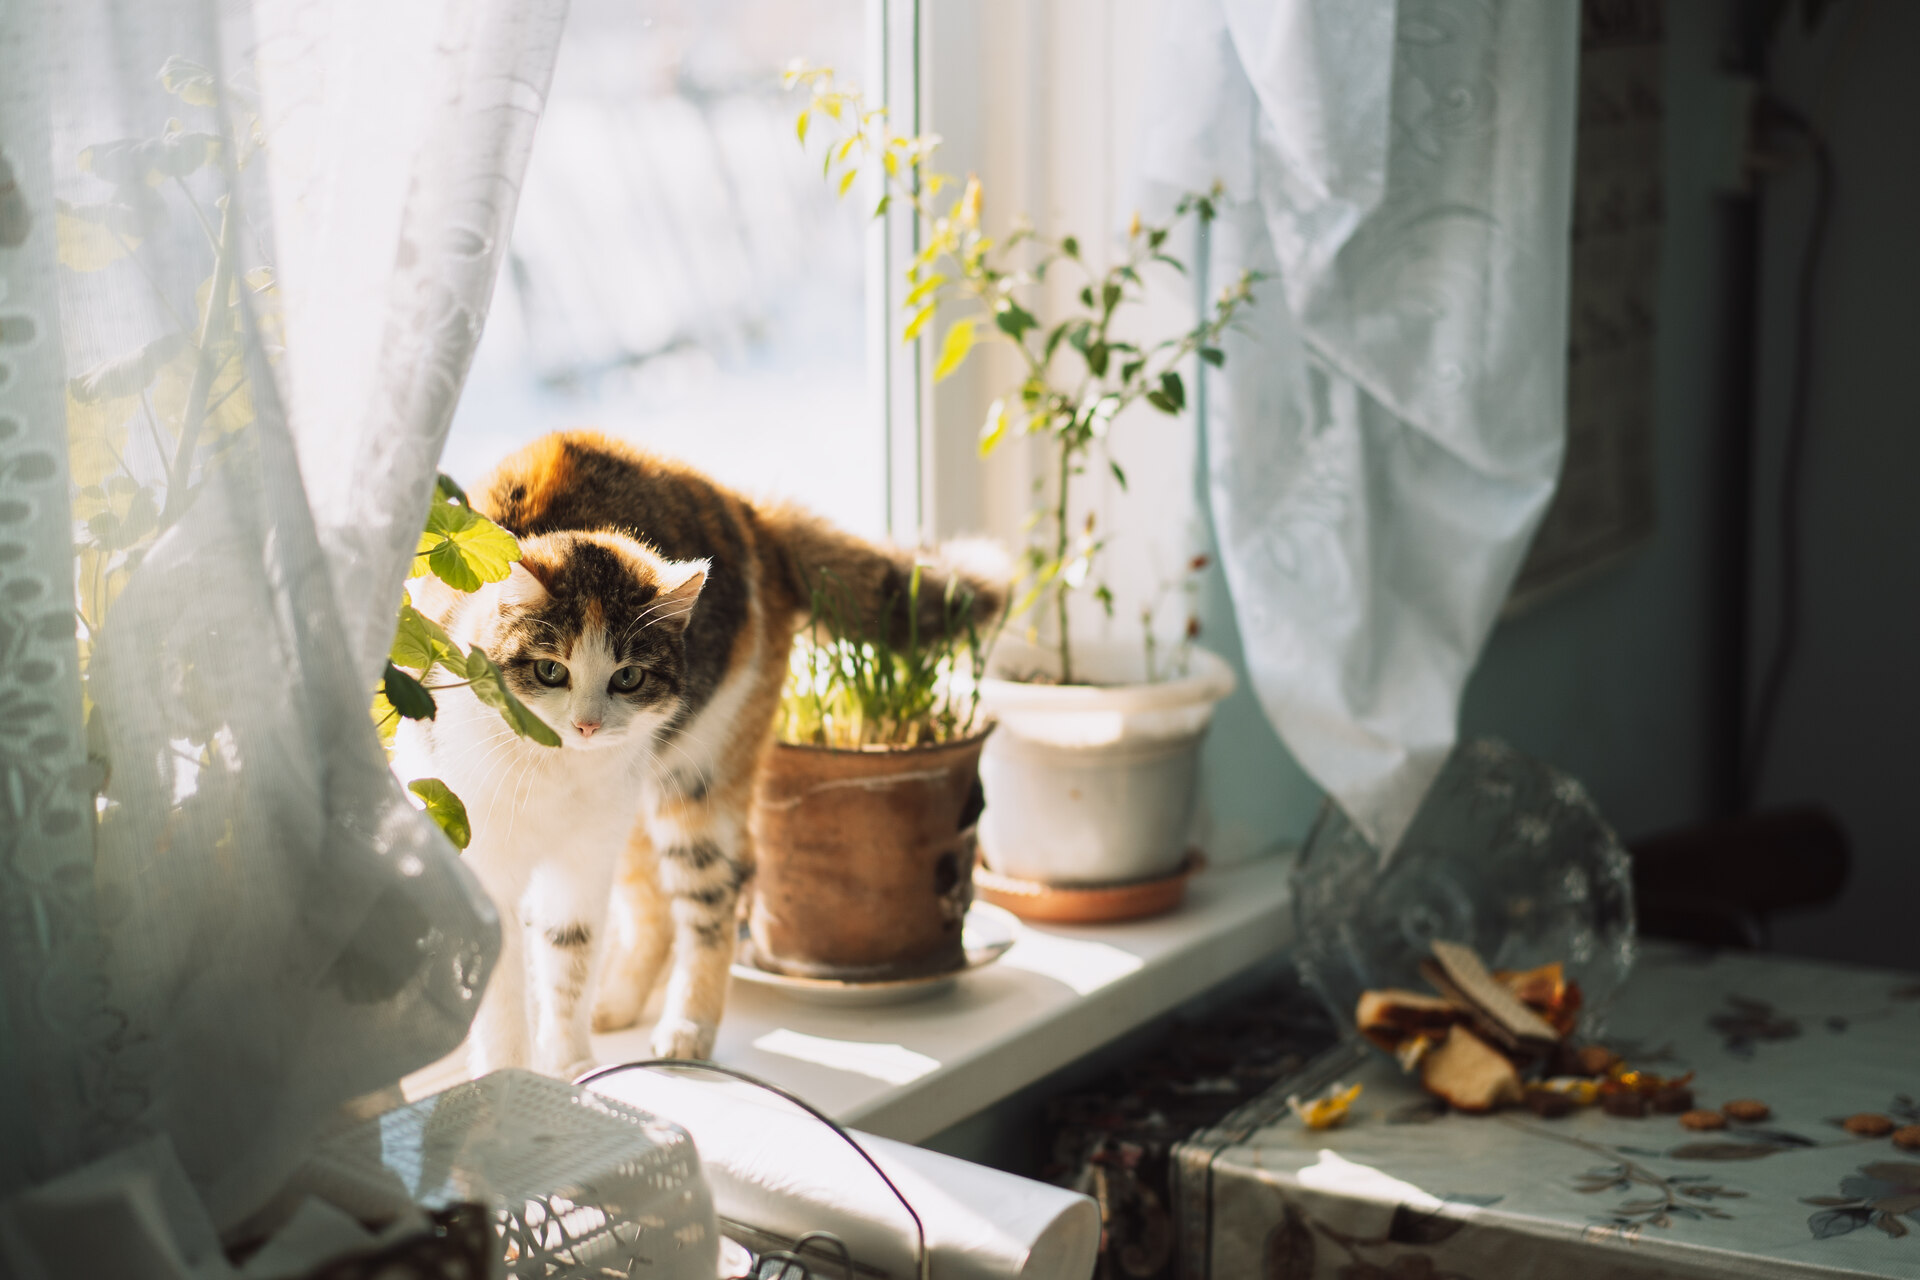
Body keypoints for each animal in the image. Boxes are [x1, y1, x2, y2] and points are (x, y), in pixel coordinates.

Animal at [391, 433, 1006, 1082]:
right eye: (551, 671)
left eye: (628, 677)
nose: (587, 725)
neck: (551, 768)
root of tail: (749, 509)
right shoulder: (486, 856)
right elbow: (504, 992)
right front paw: (517, 1077)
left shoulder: (583, 859)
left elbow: (570, 953)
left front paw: (573, 1069)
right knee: (656, 910)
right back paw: (617, 1005)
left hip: (697, 776)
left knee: (709, 900)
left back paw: (686, 1028)